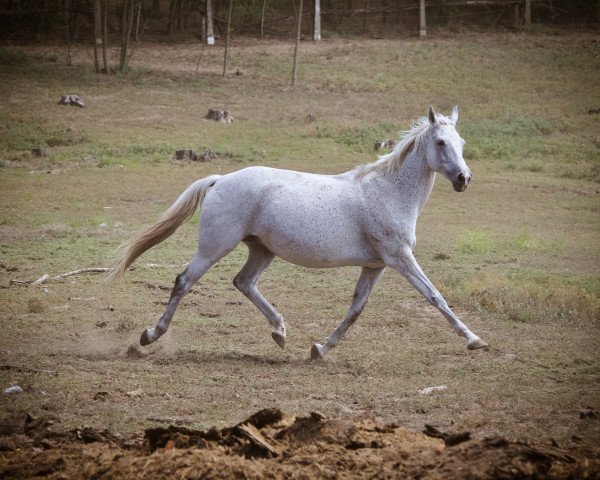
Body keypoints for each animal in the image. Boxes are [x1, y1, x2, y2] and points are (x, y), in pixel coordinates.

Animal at [110, 107, 490, 358]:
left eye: (461, 141)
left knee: (243, 283)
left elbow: (355, 309)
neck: (388, 192)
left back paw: (279, 332)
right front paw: (475, 339)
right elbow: (435, 296)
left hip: (261, 250)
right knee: (184, 282)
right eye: (440, 142)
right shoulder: (400, 258)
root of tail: (220, 179)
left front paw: (320, 348)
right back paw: (149, 335)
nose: (464, 179)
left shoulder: (376, 265)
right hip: (214, 247)